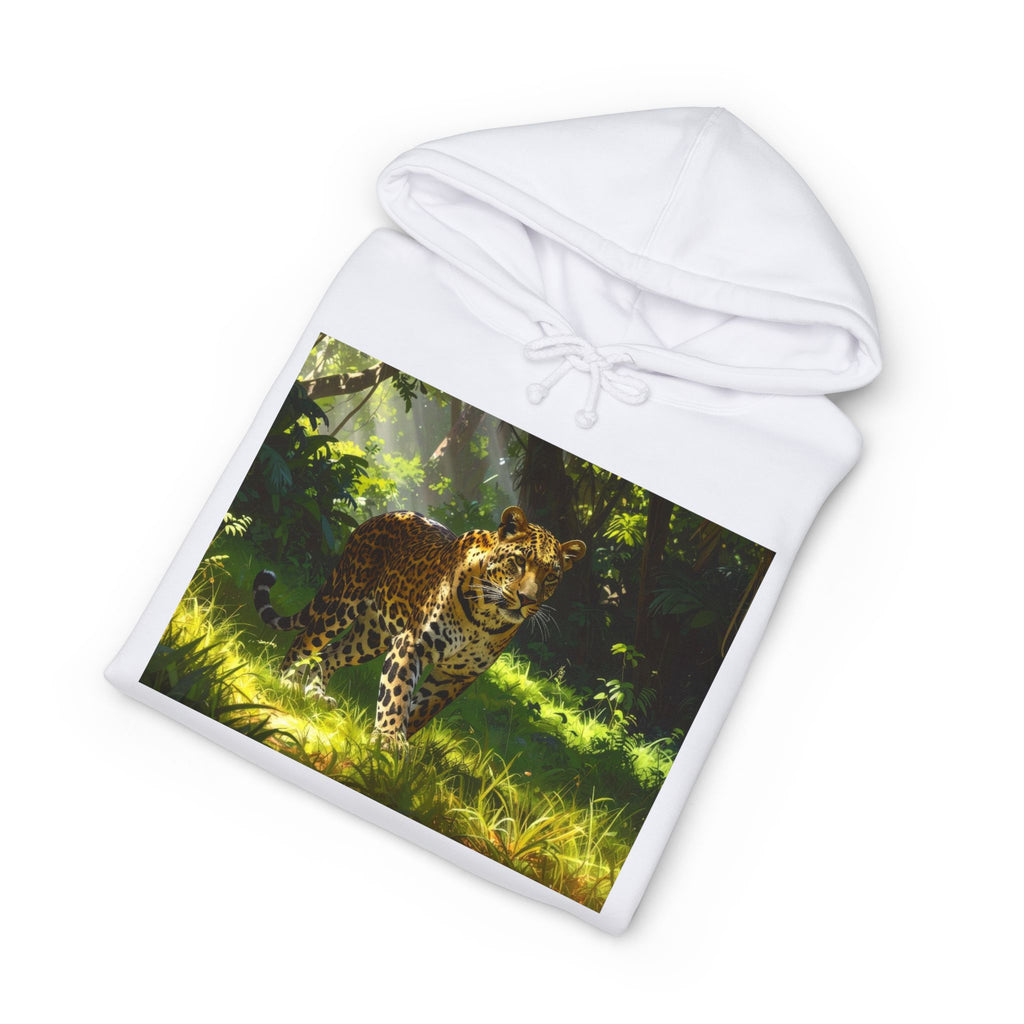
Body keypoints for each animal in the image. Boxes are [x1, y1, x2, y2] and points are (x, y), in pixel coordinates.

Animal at [252, 506, 586, 748]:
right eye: (519, 561)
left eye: (551, 577)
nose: (526, 599)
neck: (487, 615)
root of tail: (382, 515)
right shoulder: (412, 642)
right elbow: (398, 692)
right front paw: (389, 740)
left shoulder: (458, 675)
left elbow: (422, 708)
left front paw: (393, 738)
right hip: (343, 600)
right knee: (307, 639)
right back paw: (286, 683)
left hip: (372, 635)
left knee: (330, 653)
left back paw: (315, 694)